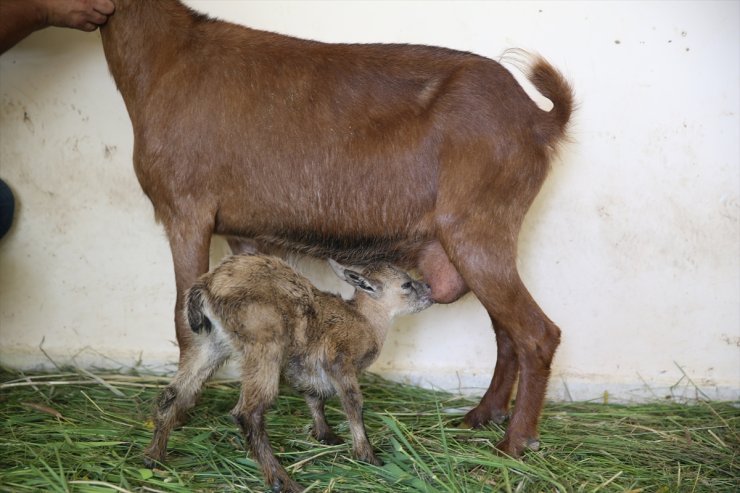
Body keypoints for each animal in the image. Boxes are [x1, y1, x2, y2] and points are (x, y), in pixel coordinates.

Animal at [99, 0, 572, 456]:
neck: (170, 58)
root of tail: (538, 120)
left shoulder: (186, 211)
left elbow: (186, 323)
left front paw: (178, 416)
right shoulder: (246, 233)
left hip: (477, 232)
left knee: (537, 334)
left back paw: (515, 443)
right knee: (507, 333)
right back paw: (482, 415)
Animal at [145, 254, 434, 492]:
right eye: (406, 284)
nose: (430, 290)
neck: (364, 321)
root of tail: (206, 287)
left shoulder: (306, 367)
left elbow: (314, 397)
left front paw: (326, 435)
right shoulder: (339, 359)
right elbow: (352, 403)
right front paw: (368, 456)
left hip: (211, 344)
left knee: (173, 394)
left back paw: (154, 457)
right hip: (265, 343)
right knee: (247, 412)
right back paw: (281, 480)